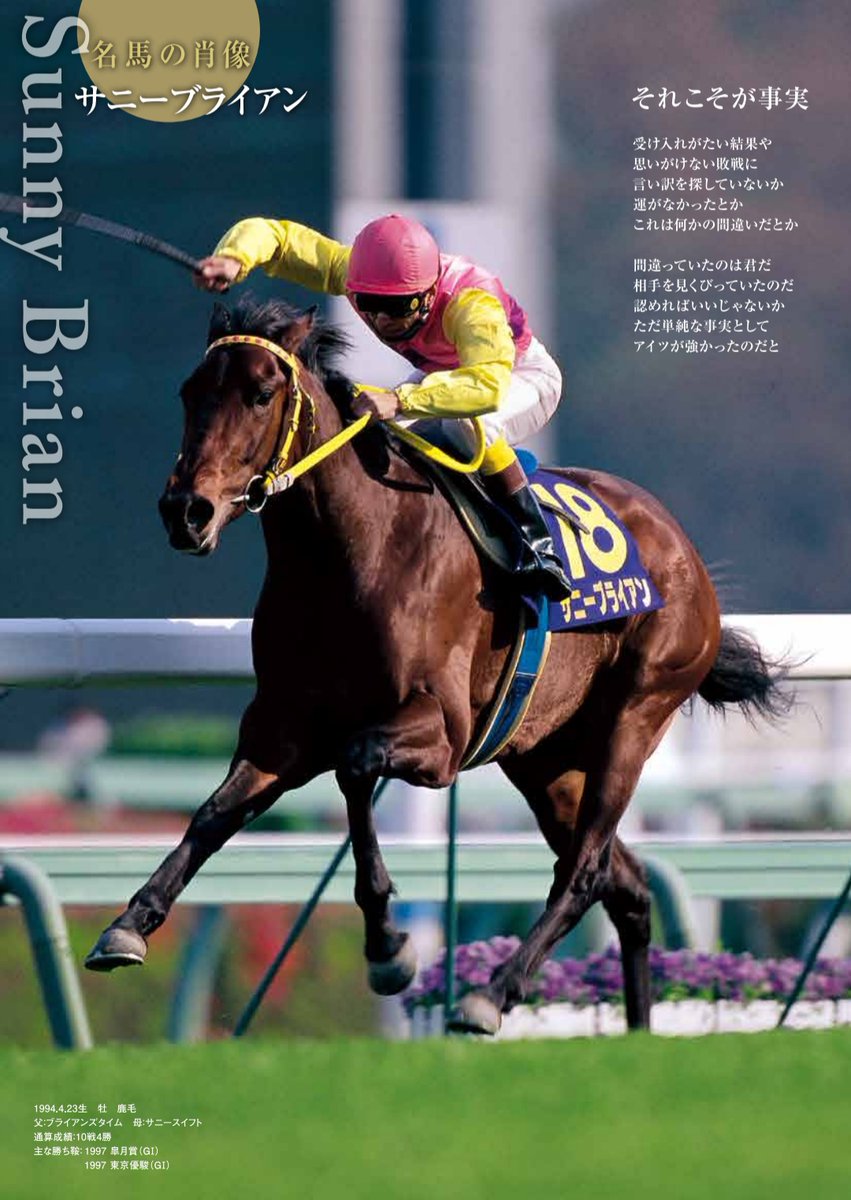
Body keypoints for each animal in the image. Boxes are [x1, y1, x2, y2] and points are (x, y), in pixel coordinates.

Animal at [85, 296, 790, 1035]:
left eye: (259, 395)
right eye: (190, 393)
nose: (185, 512)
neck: (349, 554)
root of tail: (683, 549)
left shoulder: (441, 732)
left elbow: (355, 767)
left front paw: (387, 947)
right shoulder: (282, 730)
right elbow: (213, 814)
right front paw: (129, 924)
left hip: (635, 716)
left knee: (586, 871)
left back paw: (490, 994)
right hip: (546, 758)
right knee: (626, 885)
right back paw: (635, 1030)